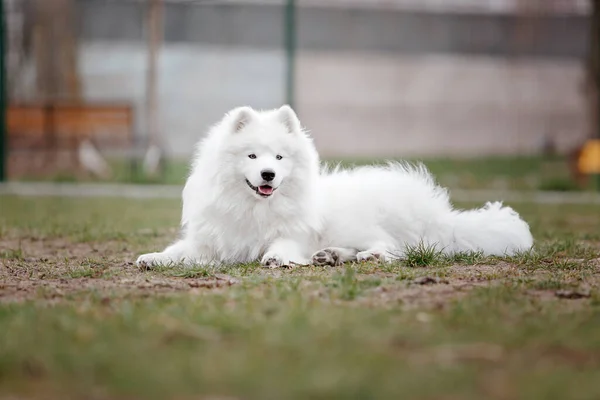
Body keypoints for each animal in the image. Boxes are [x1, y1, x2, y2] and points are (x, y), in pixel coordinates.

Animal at [137, 105, 536, 268]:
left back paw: (368, 256)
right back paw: (330, 256)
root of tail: (437, 211)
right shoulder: (210, 240)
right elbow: (178, 251)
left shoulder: (293, 233)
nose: (268, 175)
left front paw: (276, 258)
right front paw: (152, 258)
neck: (255, 207)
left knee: (398, 248)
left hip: (360, 221)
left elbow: (280, 246)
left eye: (279, 158)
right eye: (252, 156)